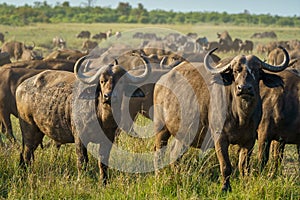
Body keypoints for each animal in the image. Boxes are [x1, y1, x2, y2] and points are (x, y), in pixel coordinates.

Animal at [154, 46, 290, 191]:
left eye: (257, 70)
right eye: (235, 70)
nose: (244, 88)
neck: (241, 116)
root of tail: (161, 82)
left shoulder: (249, 140)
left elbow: (244, 166)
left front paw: (245, 184)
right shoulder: (220, 138)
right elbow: (226, 166)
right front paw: (225, 187)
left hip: (183, 134)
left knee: (174, 153)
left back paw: (177, 175)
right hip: (161, 128)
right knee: (158, 151)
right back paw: (158, 176)